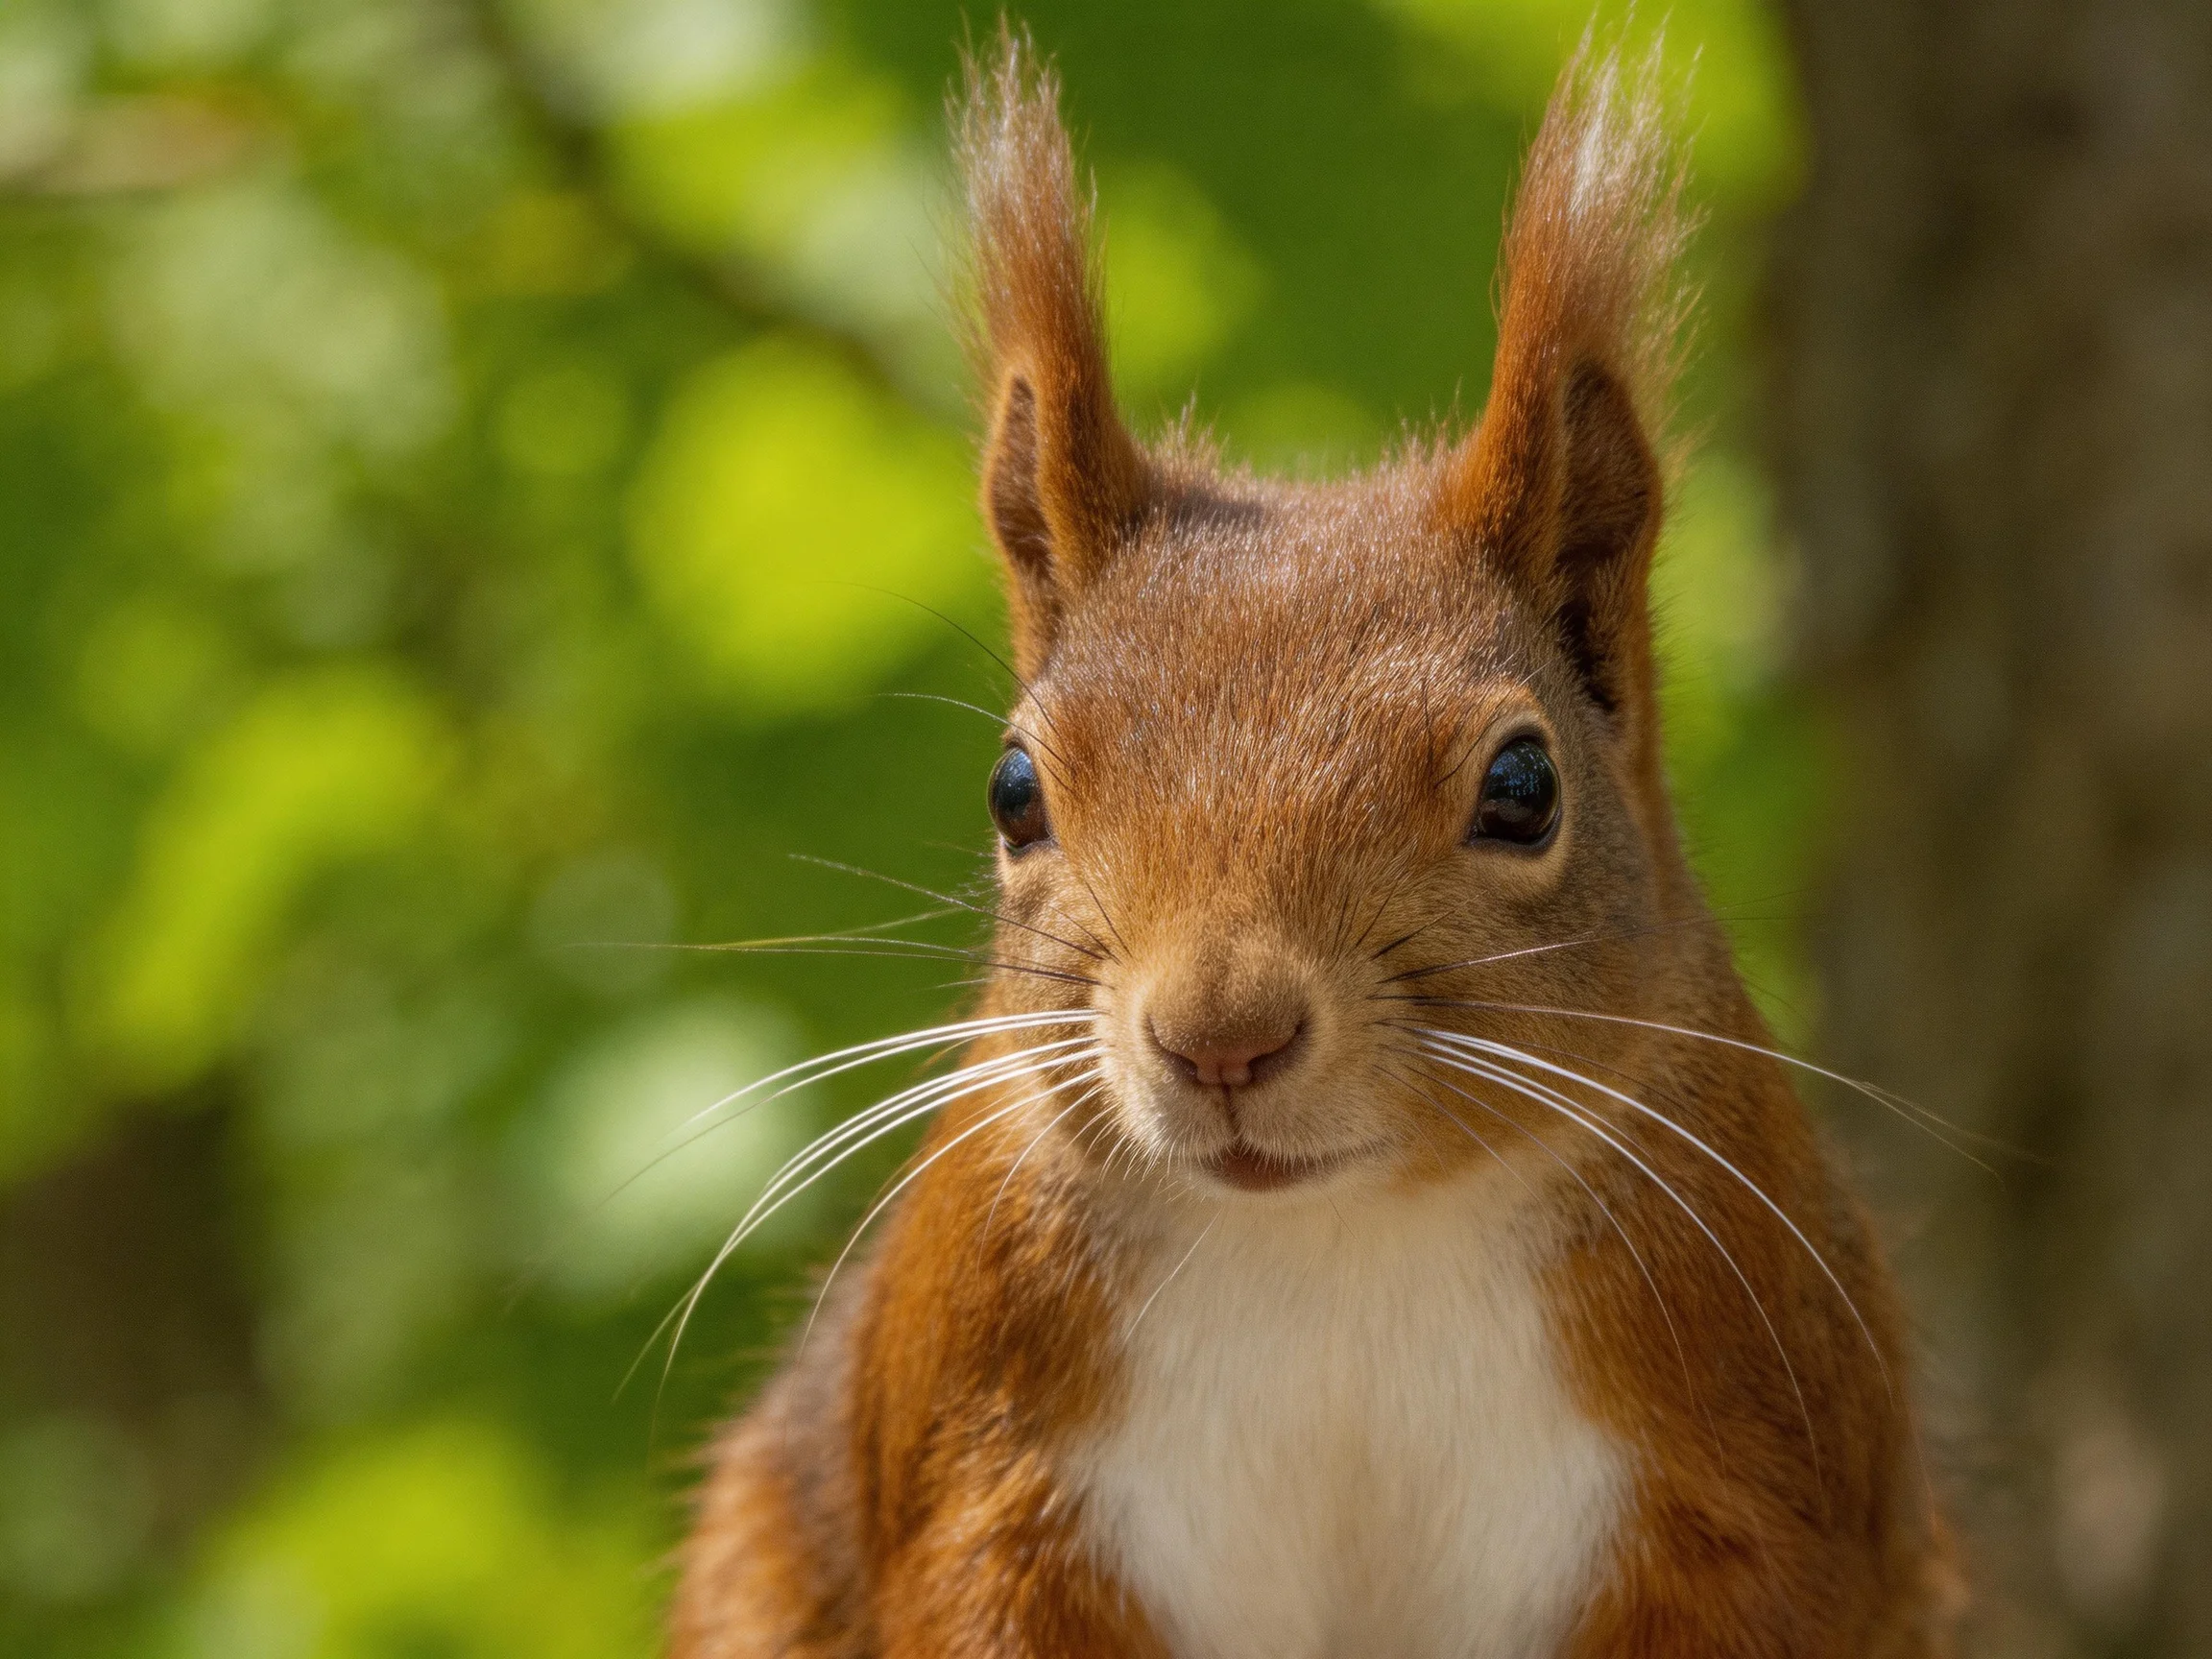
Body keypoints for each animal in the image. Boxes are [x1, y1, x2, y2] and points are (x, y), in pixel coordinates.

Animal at [670, 28, 1962, 1659]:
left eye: (1524, 785)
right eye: (1015, 790)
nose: (1222, 1036)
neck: (1339, 1250)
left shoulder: (1754, 1486)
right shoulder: (984, 1480)